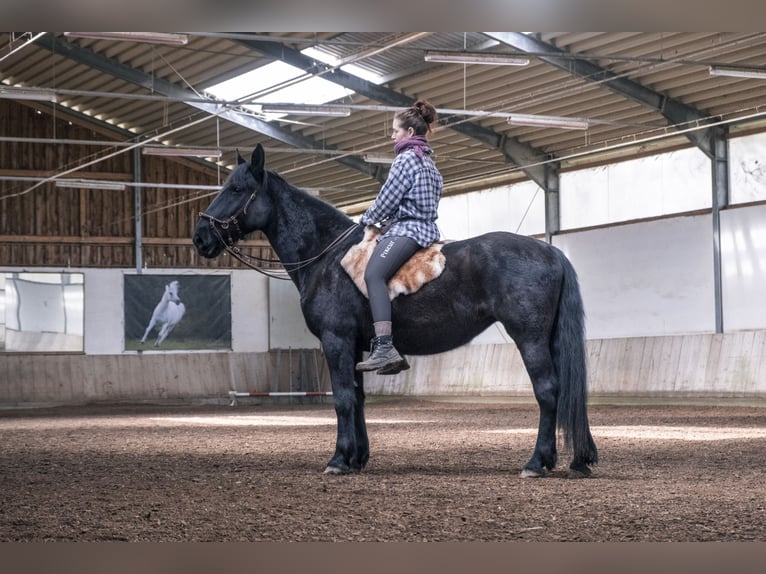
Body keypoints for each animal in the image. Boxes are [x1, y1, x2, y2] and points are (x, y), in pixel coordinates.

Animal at [192, 146, 600, 480]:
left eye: (235, 189)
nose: (200, 237)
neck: (326, 254)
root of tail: (550, 251)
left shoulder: (336, 341)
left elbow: (342, 399)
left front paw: (338, 460)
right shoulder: (355, 345)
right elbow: (357, 399)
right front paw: (357, 457)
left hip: (529, 338)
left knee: (548, 392)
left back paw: (536, 462)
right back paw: (572, 460)